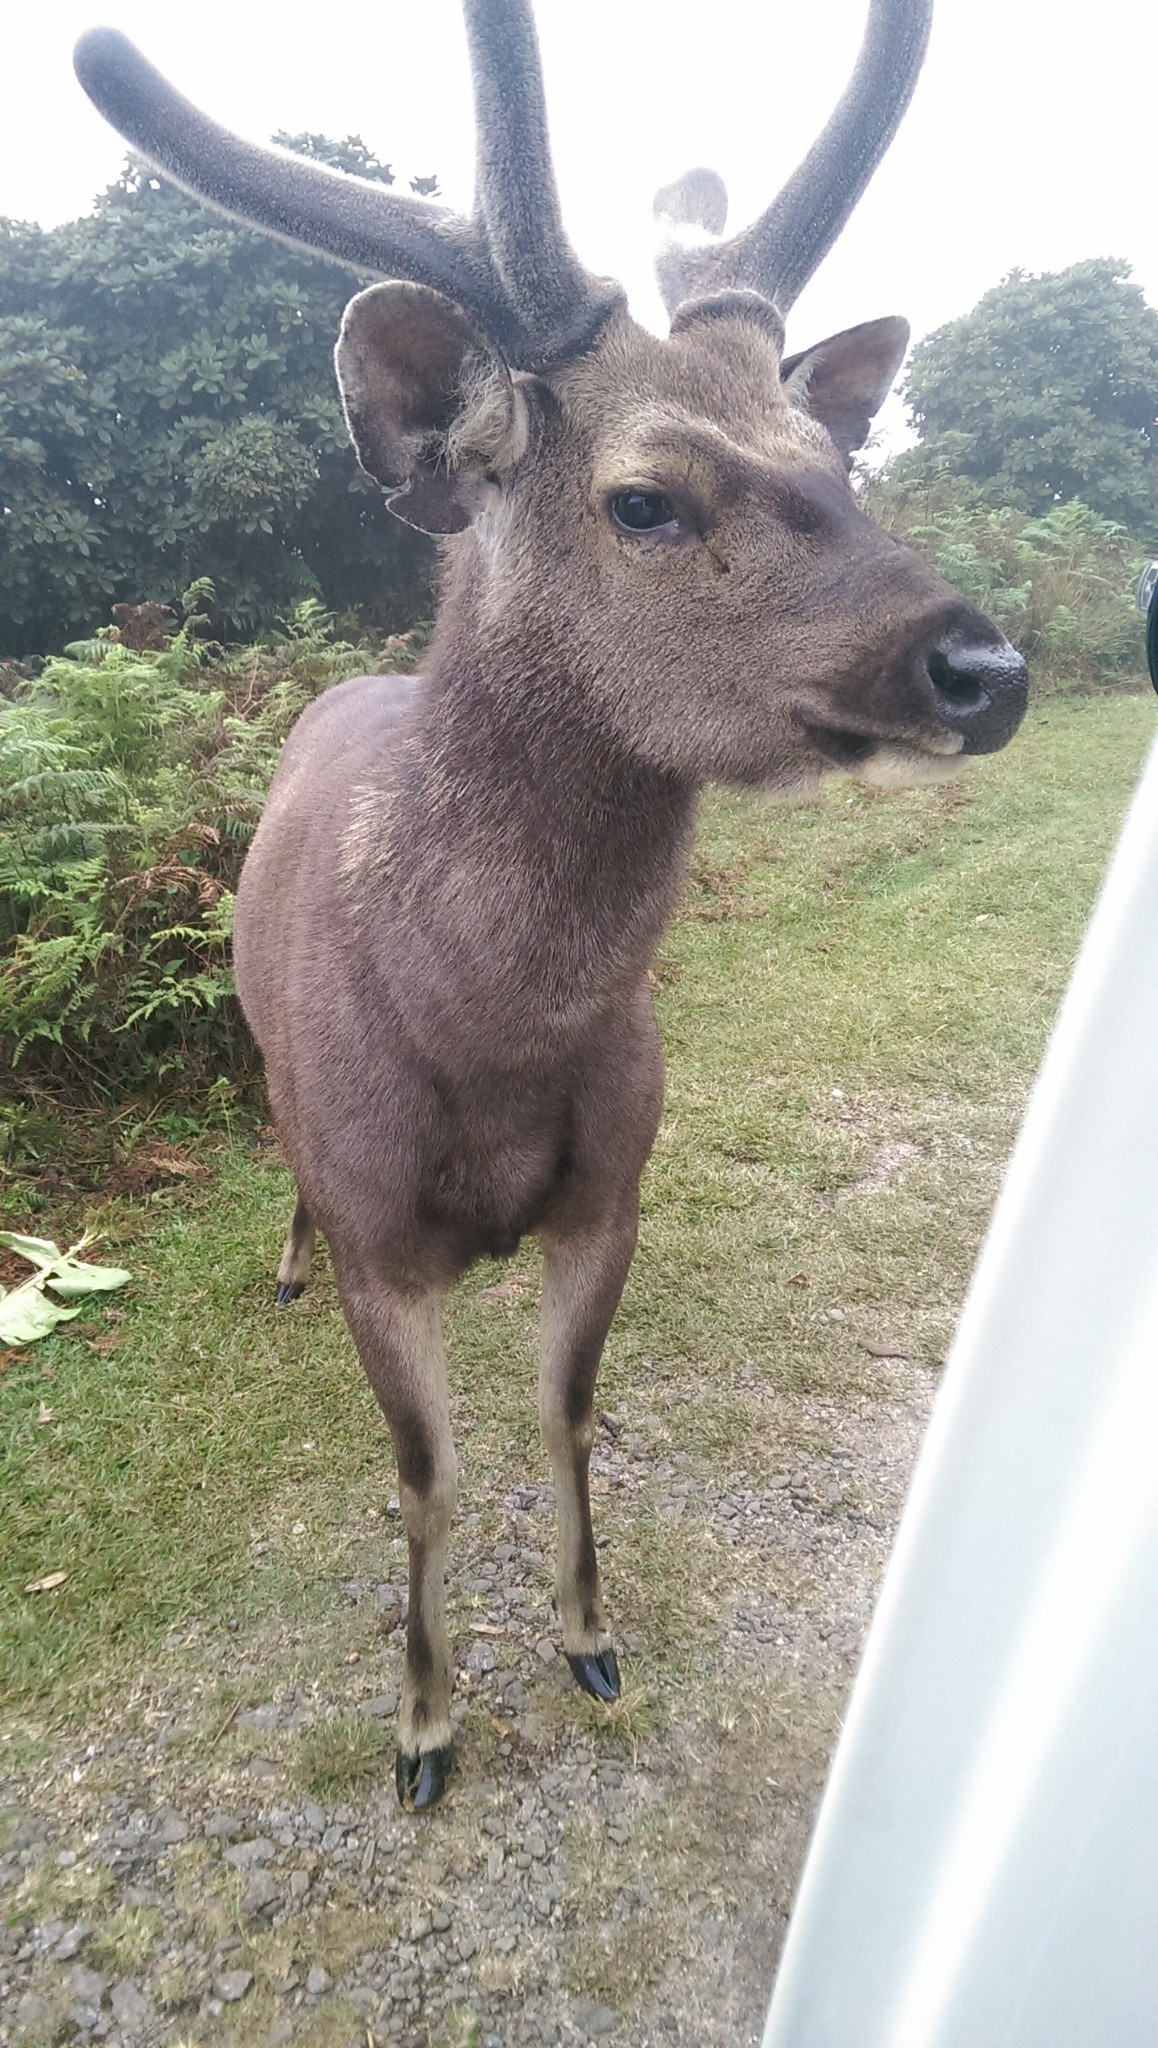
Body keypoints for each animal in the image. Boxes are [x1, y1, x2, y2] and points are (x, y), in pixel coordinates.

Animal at [76, 8, 1024, 1818]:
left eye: (840, 460)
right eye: (644, 496)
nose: (982, 665)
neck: (491, 1046)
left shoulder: (611, 1189)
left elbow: (572, 1416)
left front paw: (591, 1640)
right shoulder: (386, 1234)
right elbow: (427, 1476)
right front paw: (422, 1727)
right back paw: (277, 1263)